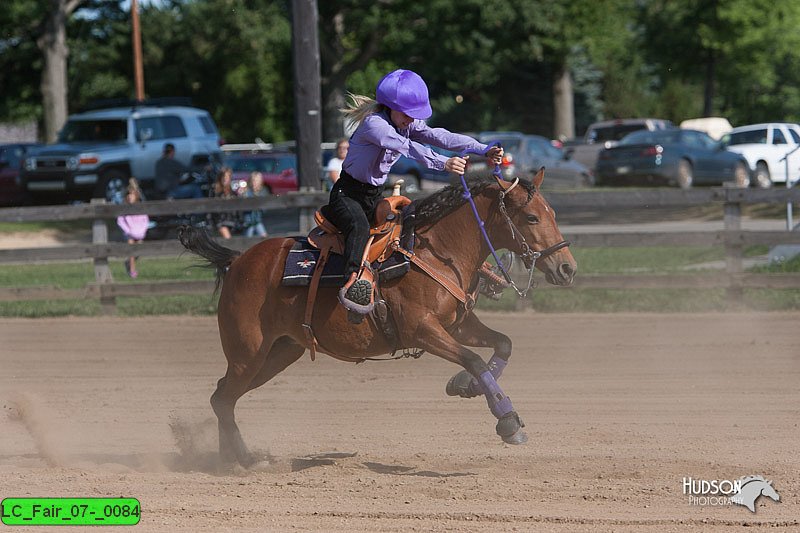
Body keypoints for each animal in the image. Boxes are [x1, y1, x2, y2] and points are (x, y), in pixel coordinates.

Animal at [180, 170, 576, 466]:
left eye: (554, 214)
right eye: (531, 217)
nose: (567, 268)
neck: (435, 251)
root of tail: (238, 261)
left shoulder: (458, 324)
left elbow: (502, 344)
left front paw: (465, 385)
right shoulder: (422, 329)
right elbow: (474, 359)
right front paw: (508, 421)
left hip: (279, 353)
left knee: (223, 396)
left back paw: (229, 458)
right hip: (248, 353)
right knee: (222, 398)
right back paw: (242, 460)